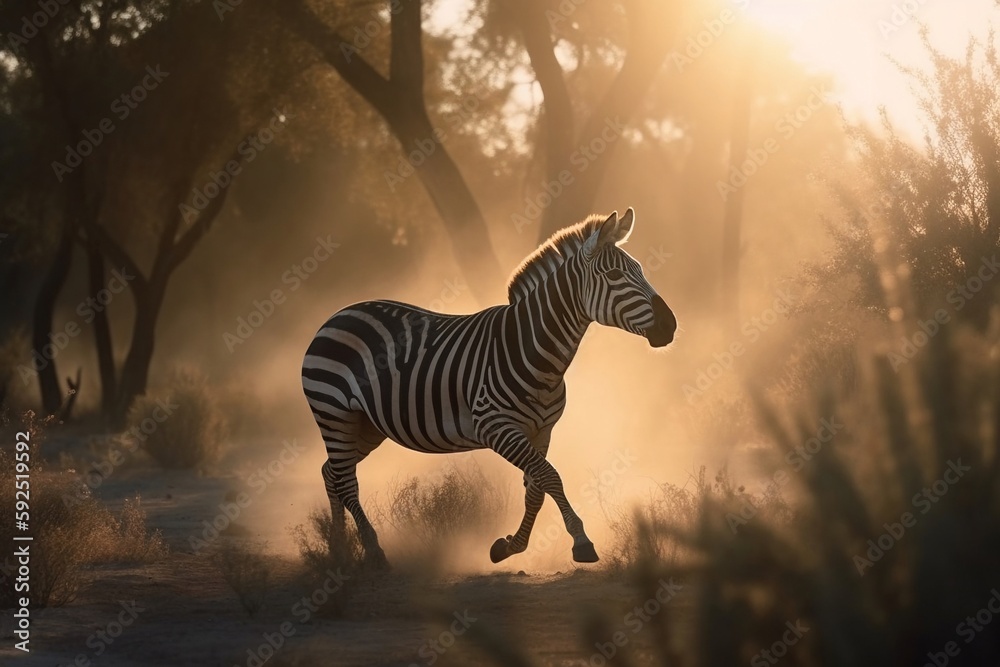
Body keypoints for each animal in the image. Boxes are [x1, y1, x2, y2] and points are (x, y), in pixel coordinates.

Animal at [301, 207, 676, 568]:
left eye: (640, 270)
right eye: (614, 276)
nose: (670, 326)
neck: (535, 353)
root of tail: (337, 315)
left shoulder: (542, 431)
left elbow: (536, 488)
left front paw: (510, 546)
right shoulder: (495, 427)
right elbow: (550, 477)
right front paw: (581, 542)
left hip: (365, 425)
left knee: (331, 473)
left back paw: (340, 551)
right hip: (334, 412)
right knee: (345, 481)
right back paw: (373, 552)